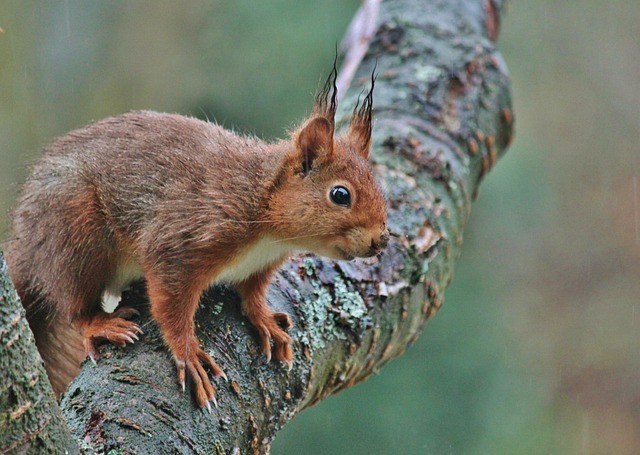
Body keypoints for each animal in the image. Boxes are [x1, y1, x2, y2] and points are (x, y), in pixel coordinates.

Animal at [5, 63, 388, 410]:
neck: (264, 218)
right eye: (340, 194)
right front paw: (188, 354)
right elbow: (170, 305)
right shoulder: (182, 241)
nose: (381, 242)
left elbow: (252, 292)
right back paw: (98, 323)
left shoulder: (260, 265)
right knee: (72, 302)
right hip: (75, 236)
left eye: (378, 184)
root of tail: (24, 243)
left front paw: (263, 317)